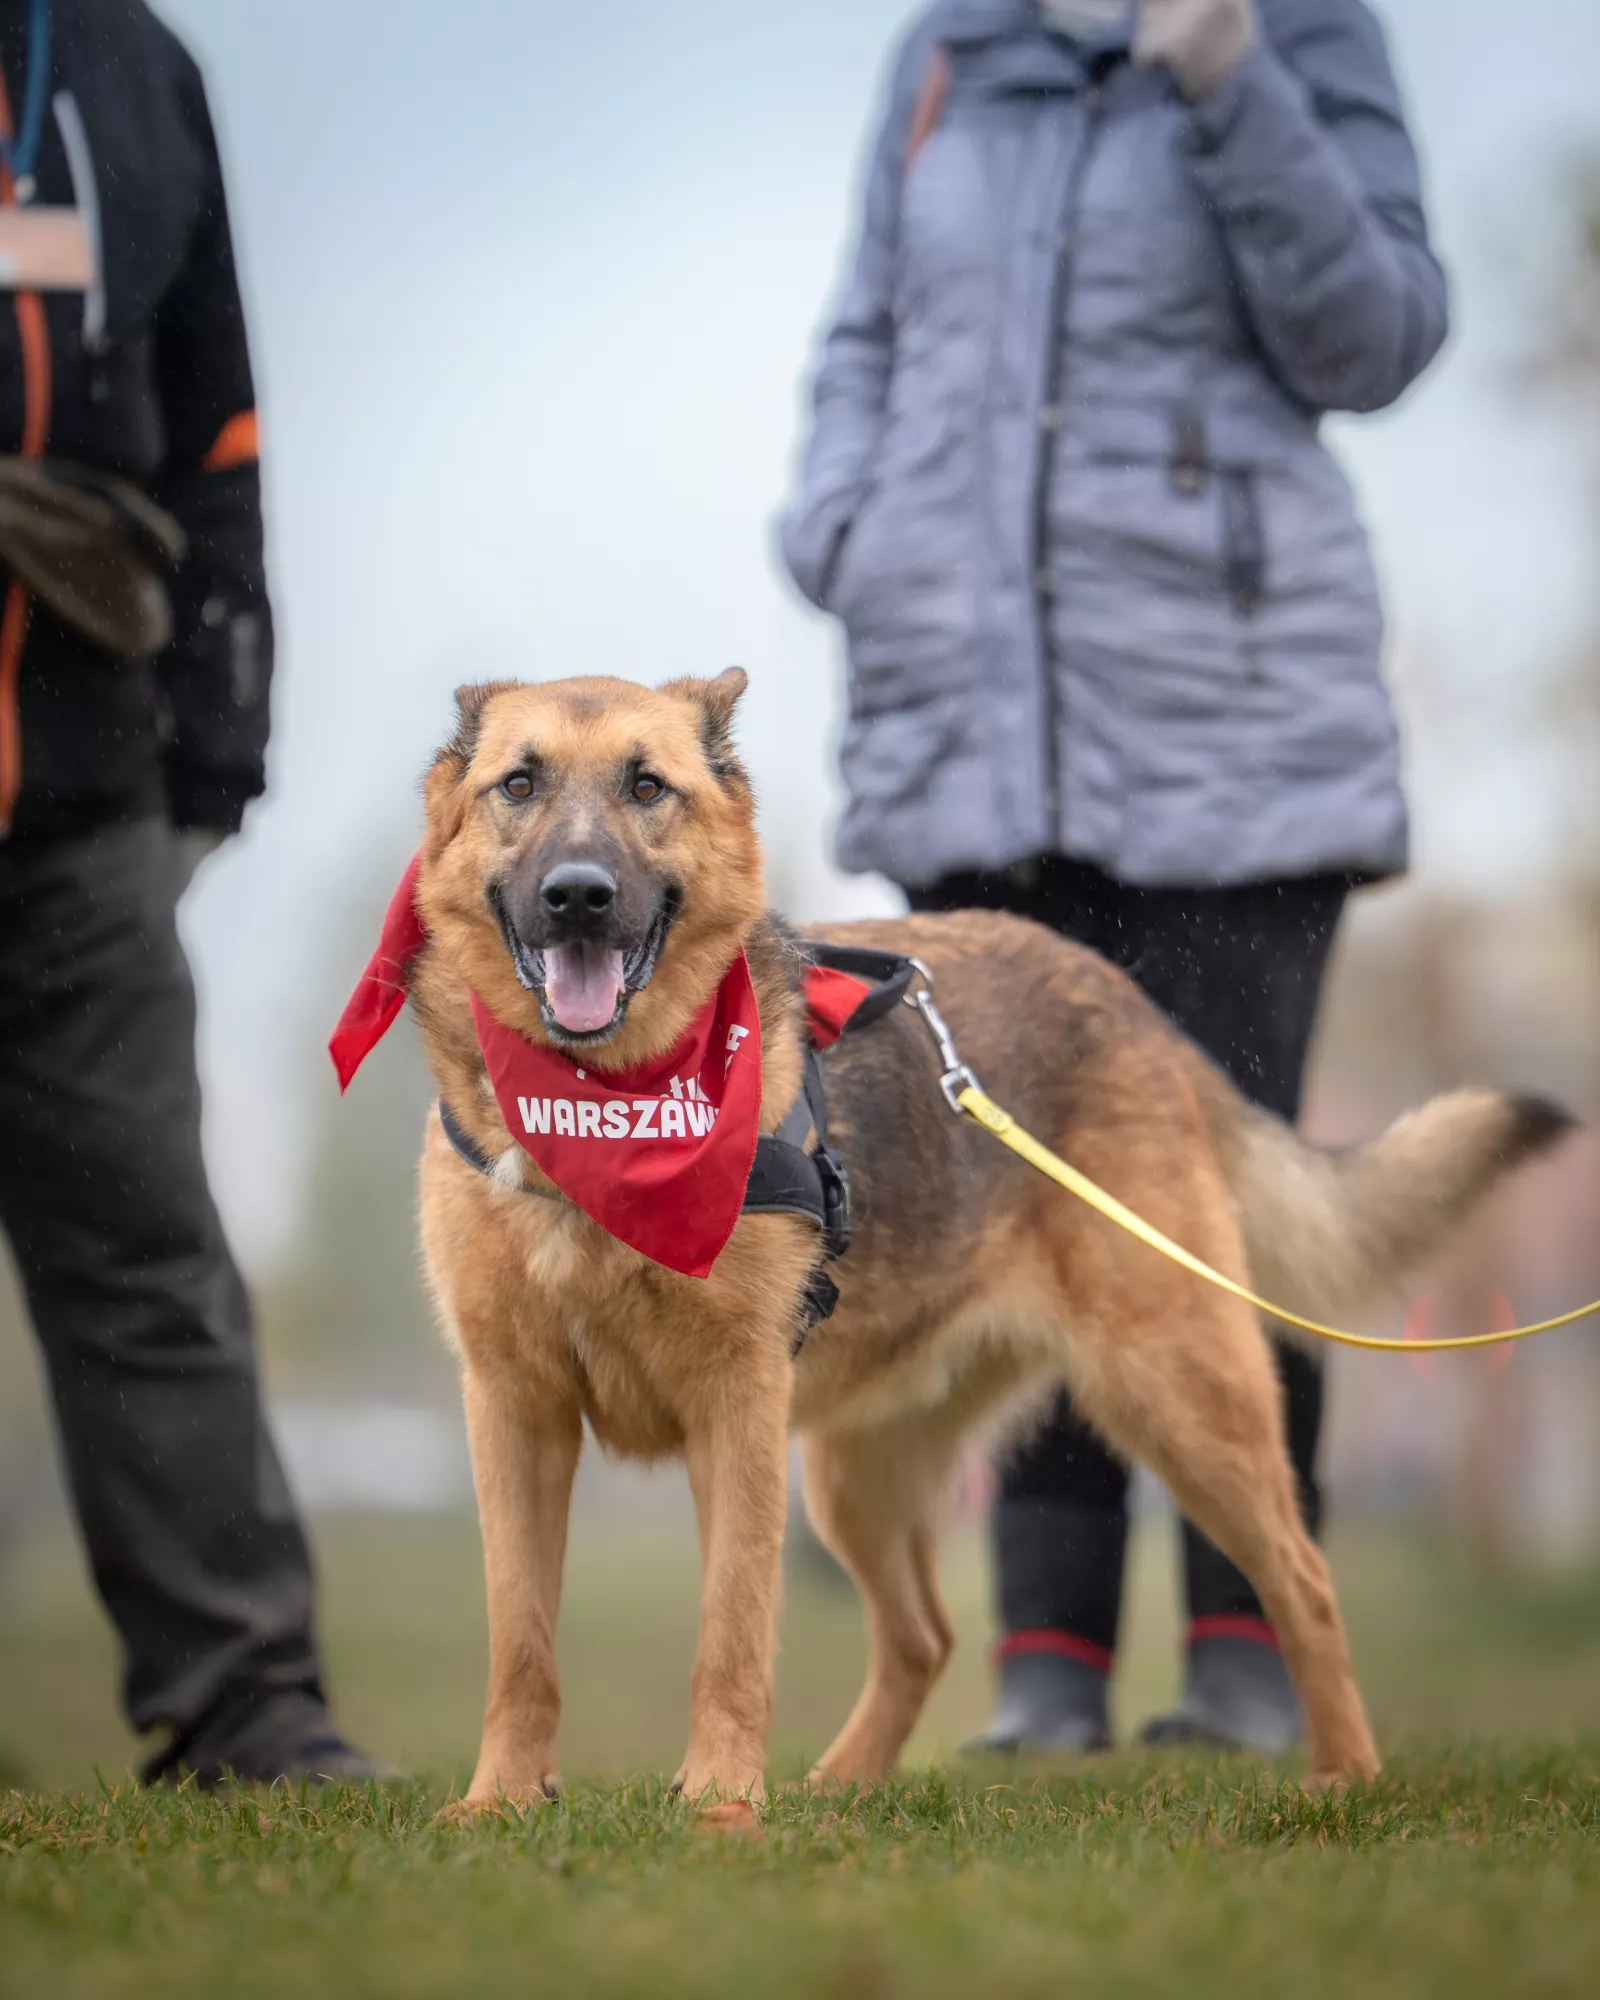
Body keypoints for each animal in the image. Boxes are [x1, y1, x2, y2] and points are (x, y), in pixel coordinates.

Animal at [388, 668, 1568, 1826]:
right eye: (520, 784)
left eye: (646, 786)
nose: (577, 893)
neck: (600, 1124)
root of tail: (1128, 999)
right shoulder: (514, 1414)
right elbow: (522, 1639)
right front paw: (502, 1799)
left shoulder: (736, 1410)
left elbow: (731, 1628)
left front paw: (720, 1802)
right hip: (855, 1474)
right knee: (925, 1636)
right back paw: (835, 1790)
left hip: (1181, 1402)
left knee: (1304, 1583)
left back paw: (1345, 1775)